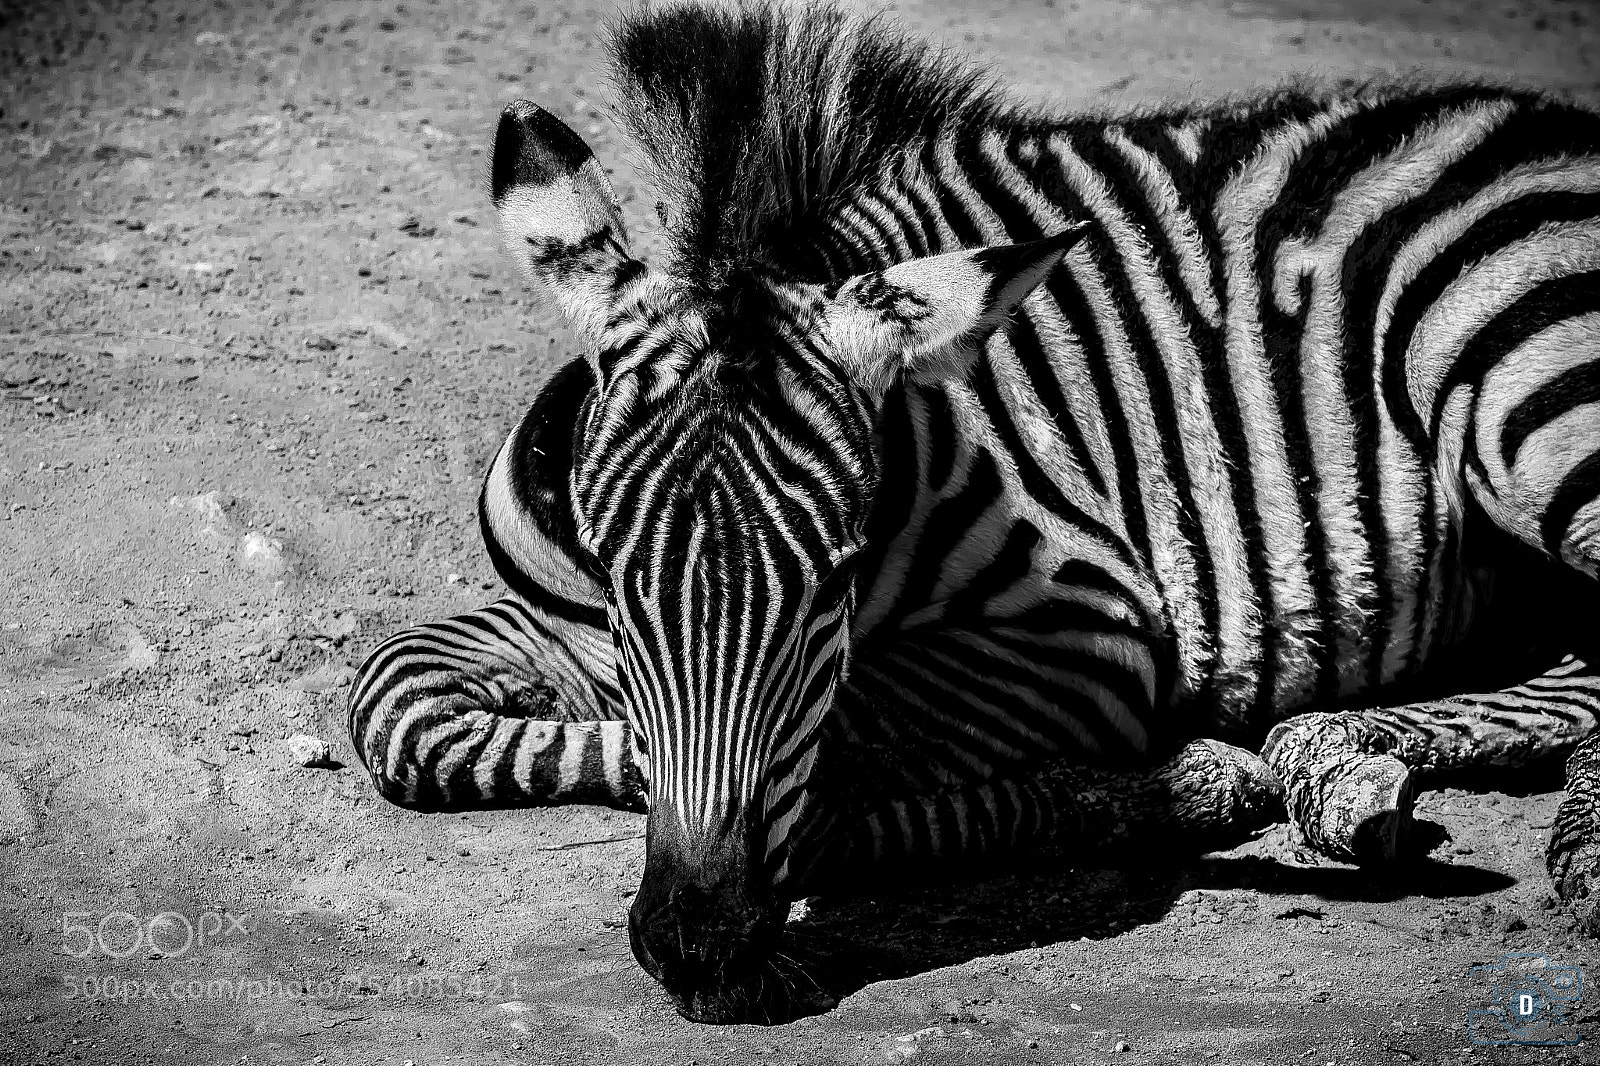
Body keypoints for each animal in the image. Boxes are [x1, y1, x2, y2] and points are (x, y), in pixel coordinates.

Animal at [349, 1, 1600, 1025]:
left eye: (837, 576)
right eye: (614, 576)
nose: (693, 951)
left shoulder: (1093, 642)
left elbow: (834, 774)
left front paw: (1173, 784)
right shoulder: (547, 621)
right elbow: (394, 710)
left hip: (1514, 355)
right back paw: (1340, 763)